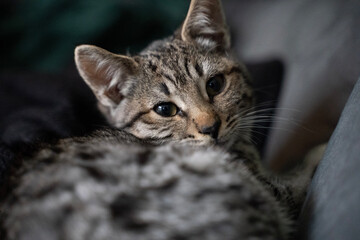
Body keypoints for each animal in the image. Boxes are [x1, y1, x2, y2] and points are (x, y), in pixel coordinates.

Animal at [0, 0, 318, 240]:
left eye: (215, 85)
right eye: (165, 110)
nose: (211, 127)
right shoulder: (268, 190)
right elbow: (293, 185)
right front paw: (316, 153)